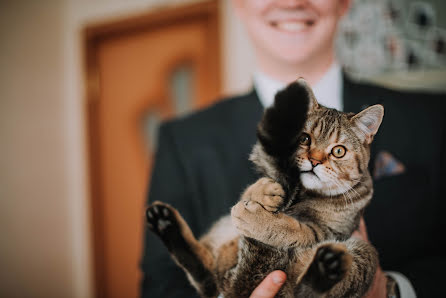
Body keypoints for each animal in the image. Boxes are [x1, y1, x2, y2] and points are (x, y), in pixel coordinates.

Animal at [145, 78, 384, 296]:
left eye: (338, 151)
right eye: (305, 138)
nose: (314, 161)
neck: (305, 194)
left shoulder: (329, 232)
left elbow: (295, 230)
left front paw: (258, 219)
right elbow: (253, 190)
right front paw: (263, 191)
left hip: (361, 252)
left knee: (304, 291)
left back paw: (324, 269)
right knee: (207, 277)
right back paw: (166, 223)